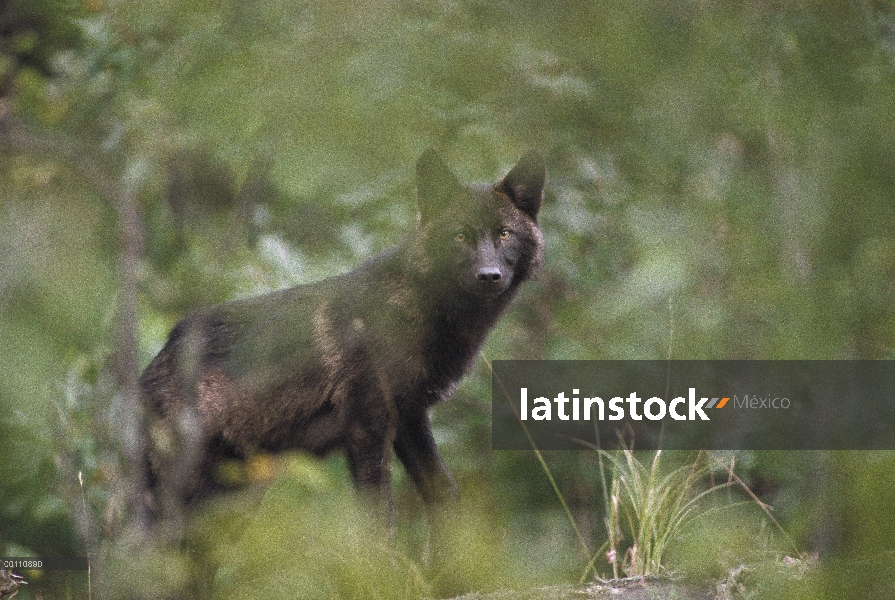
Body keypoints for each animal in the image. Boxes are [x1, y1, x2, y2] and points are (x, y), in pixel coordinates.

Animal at [140, 150, 544, 520]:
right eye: (460, 236)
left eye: (504, 234)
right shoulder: (367, 422)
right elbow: (378, 519)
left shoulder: (409, 417)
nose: (489, 275)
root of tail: (154, 364)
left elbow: (445, 493)